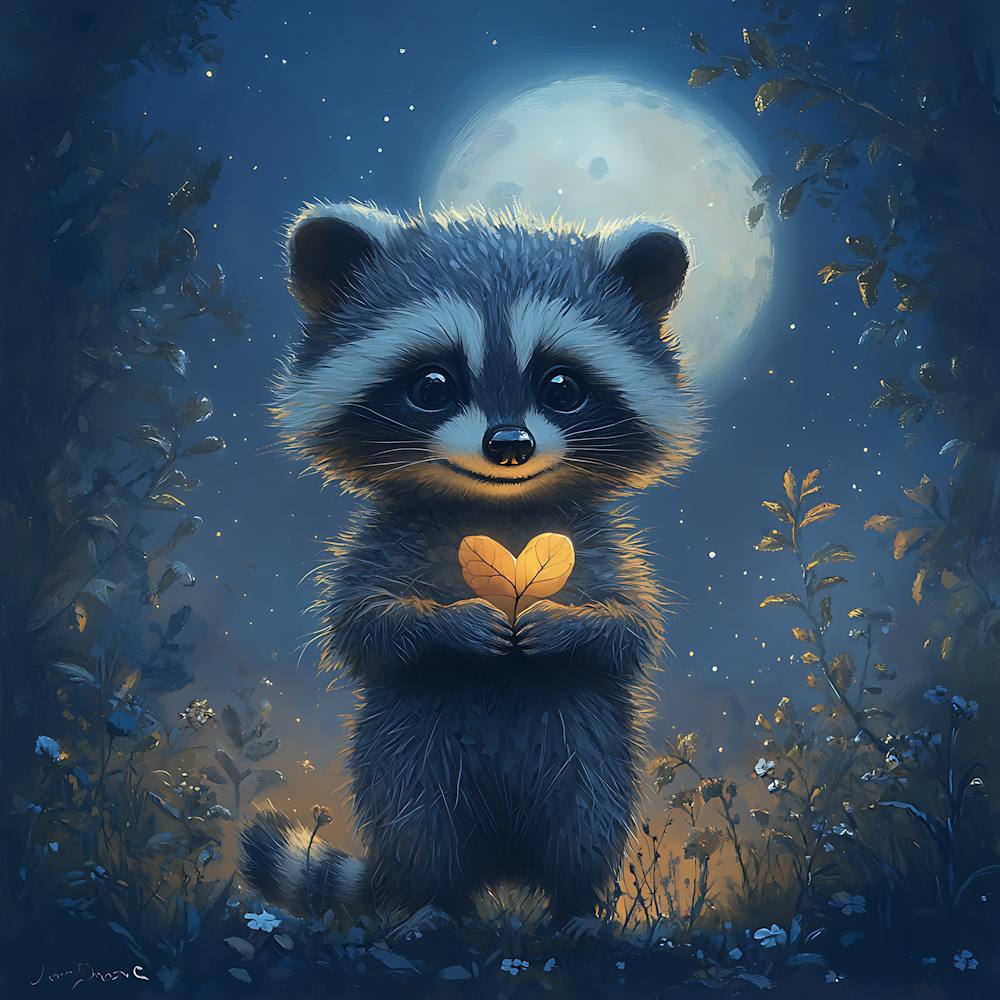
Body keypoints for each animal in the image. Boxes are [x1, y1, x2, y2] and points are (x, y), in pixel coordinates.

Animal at [240, 200, 702, 925]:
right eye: (433, 385)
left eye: (561, 386)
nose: (510, 445)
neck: (497, 508)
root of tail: (502, 868)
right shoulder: (381, 540)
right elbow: (362, 626)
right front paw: (448, 621)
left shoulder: (602, 544)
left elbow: (630, 629)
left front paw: (565, 625)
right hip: (400, 745)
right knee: (418, 817)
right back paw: (435, 903)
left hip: (593, 747)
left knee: (587, 815)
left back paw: (576, 907)